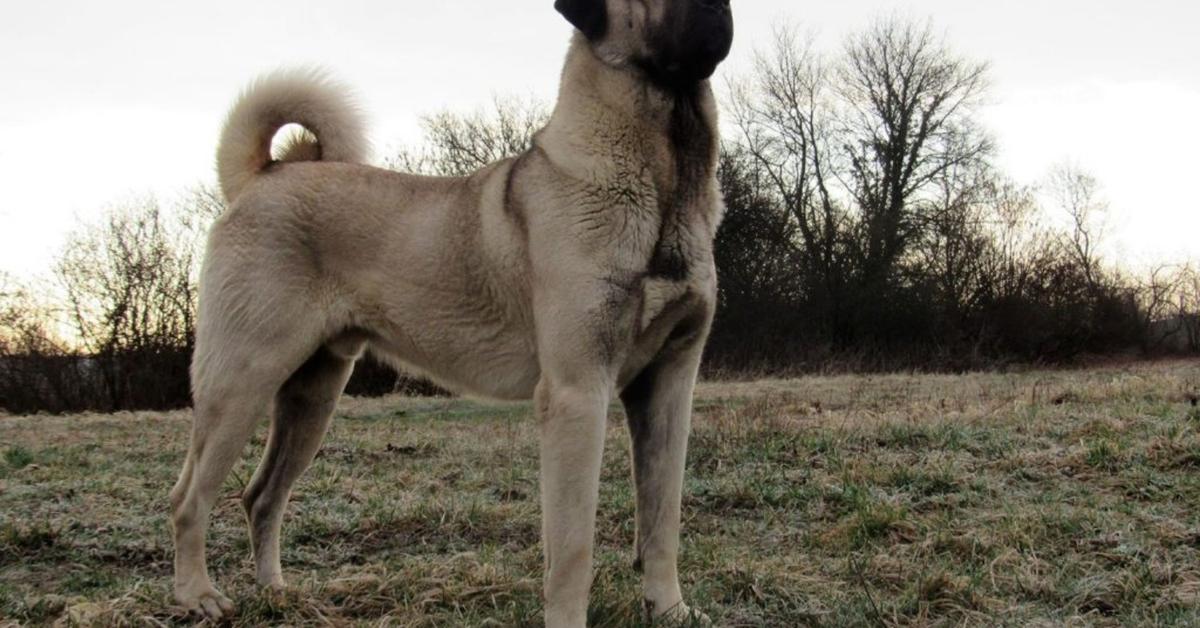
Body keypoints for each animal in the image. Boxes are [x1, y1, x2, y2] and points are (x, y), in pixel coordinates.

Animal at [168, 2, 729, 624]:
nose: (719, 10)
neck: (663, 175)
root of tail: (261, 178)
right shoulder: (577, 392)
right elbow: (572, 546)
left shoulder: (668, 387)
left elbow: (662, 519)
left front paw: (670, 610)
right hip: (242, 380)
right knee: (189, 499)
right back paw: (197, 595)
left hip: (312, 395)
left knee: (262, 496)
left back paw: (275, 592)